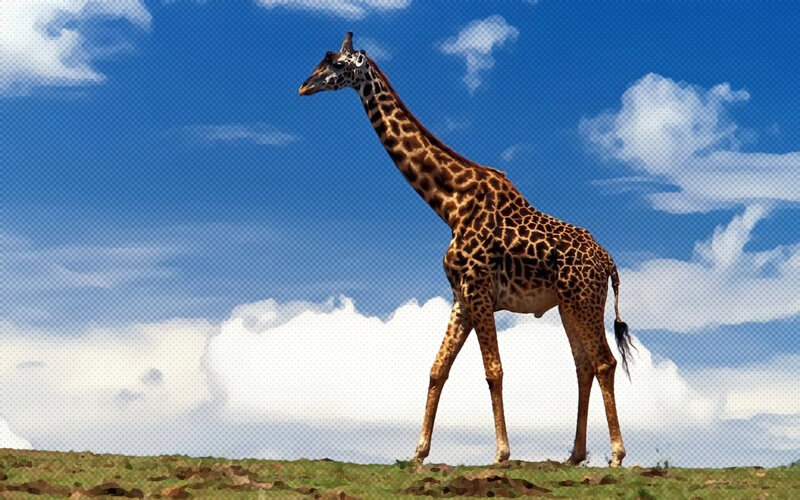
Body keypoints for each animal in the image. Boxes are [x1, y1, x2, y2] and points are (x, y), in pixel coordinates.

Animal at [299, 32, 634, 468]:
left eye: (336, 64)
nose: (304, 86)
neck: (449, 205)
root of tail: (609, 262)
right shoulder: (461, 294)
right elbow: (437, 369)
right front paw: (419, 453)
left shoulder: (478, 289)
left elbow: (493, 369)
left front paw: (502, 453)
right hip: (567, 304)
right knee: (584, 366)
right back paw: (574, 456)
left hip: (583, 299)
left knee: (604, 361)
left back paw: (616, 455)